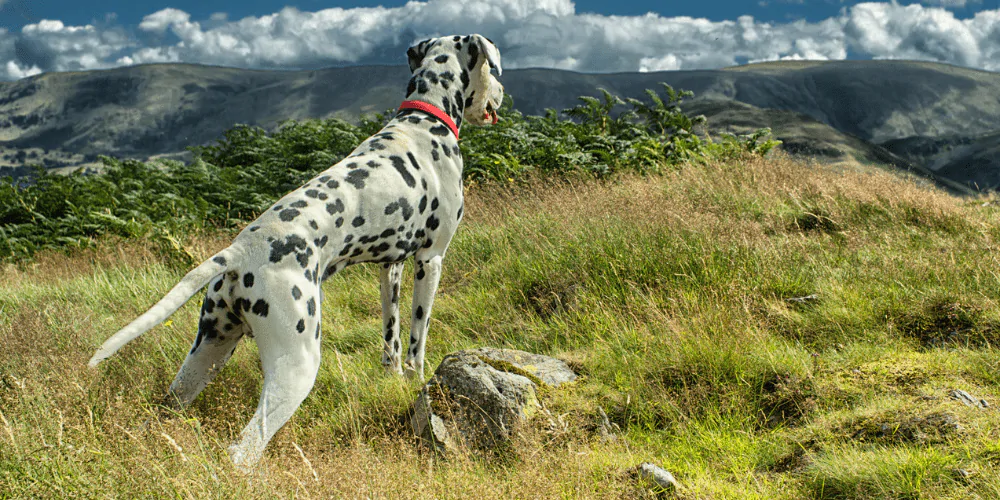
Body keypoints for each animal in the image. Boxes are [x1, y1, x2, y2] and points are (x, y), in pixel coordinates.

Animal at [89, 35, 504, 468]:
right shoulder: (430, 260)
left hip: (207, 355)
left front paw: (393, 381)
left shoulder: (390, 267)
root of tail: (240, 251)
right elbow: (416, 344)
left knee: (165, 411)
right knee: (244, 449)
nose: (502, 94)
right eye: (492, 68)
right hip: (297, 365)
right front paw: (417, 381)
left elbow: (390, 341)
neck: (424, 119)